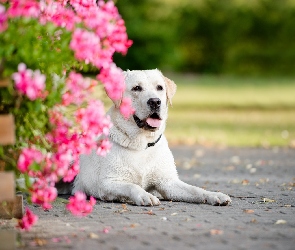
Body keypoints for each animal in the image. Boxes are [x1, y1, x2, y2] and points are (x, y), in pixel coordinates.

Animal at [71, 69, 231, 206]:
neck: (142, 145)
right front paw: (145, 195)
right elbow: (132, 186)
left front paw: (214, 195)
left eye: (159, 87)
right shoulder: (107, 183)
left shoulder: (168, 182)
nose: (155, 101)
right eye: (136, 88)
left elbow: (195, 189)